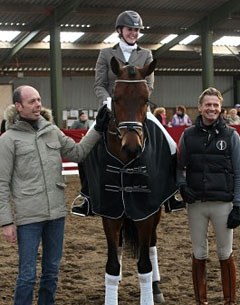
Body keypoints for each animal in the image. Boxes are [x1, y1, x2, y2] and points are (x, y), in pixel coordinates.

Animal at [84, 56, 176, 302]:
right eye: (115, 98)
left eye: (146, 99)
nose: (132, 147)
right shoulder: (110, 211)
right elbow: (112, 264)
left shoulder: (146, 211)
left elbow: (144, 265)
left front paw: (150, 294)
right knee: (120, 245)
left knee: (152, 246)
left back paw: (156, 287)